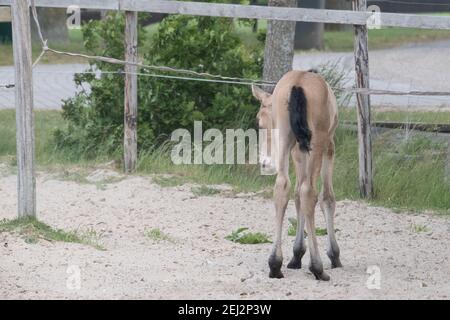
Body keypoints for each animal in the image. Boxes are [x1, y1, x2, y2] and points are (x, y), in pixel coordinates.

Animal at [253, 70, 342, 280]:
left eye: (259, 122)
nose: (265, 163)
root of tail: (297, 83)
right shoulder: (329, 146)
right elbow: (327, 197)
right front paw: (334, 255)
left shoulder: (297, 151)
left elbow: (295, 194)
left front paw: (296, 255)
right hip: (318, 143)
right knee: (309, 192)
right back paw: (318, 267)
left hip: (288, 140)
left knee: (282, 188)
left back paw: (275, 264)